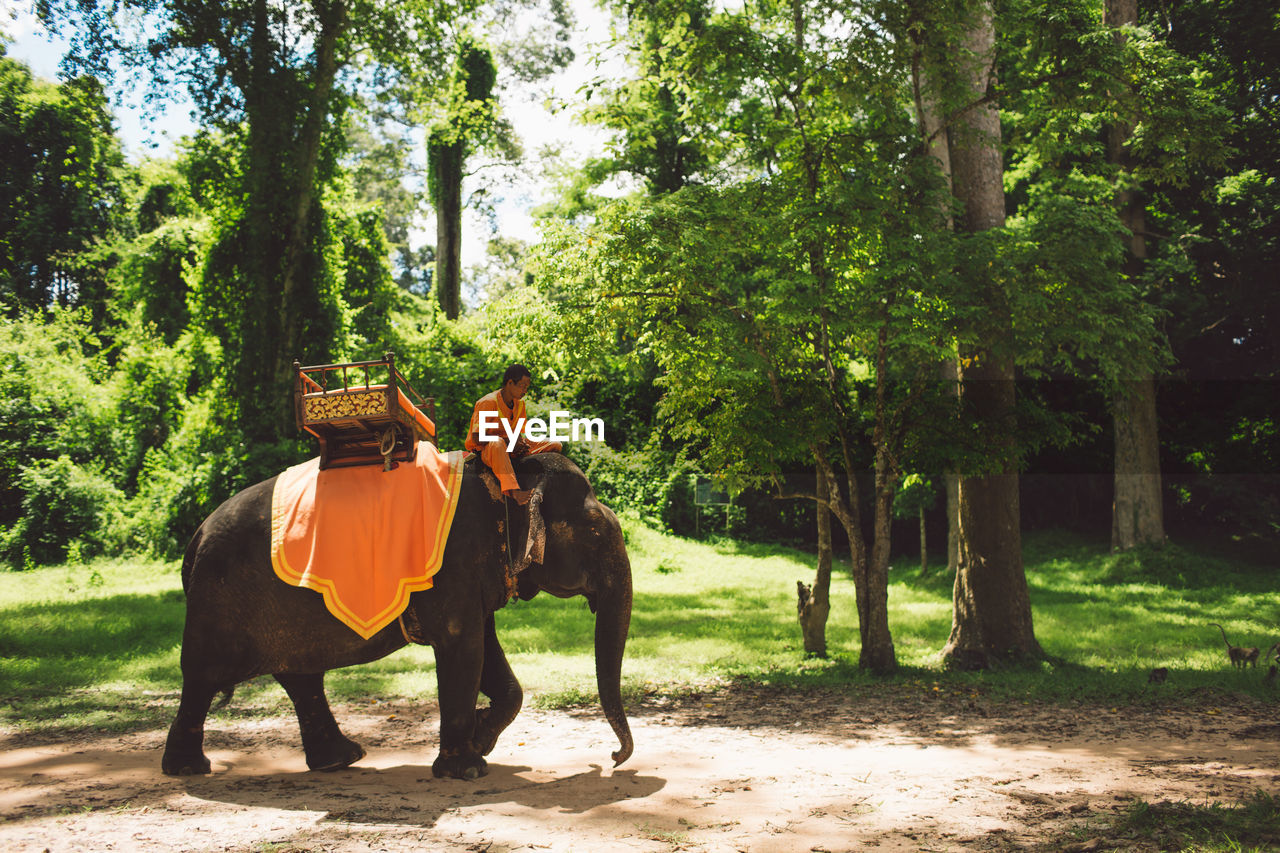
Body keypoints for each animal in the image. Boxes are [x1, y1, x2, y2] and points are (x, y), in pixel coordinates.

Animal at [162, 450, 632, 778]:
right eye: (595, 531)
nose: (612, 758)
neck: (508, 475)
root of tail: (194, 539)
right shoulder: (453, 563)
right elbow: (463, 647)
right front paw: (468, 769)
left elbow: (485, 647)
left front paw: (481, 739)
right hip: (218, 601)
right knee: (202, 676)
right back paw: (188, 769)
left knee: (300, 678)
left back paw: (340, 759)